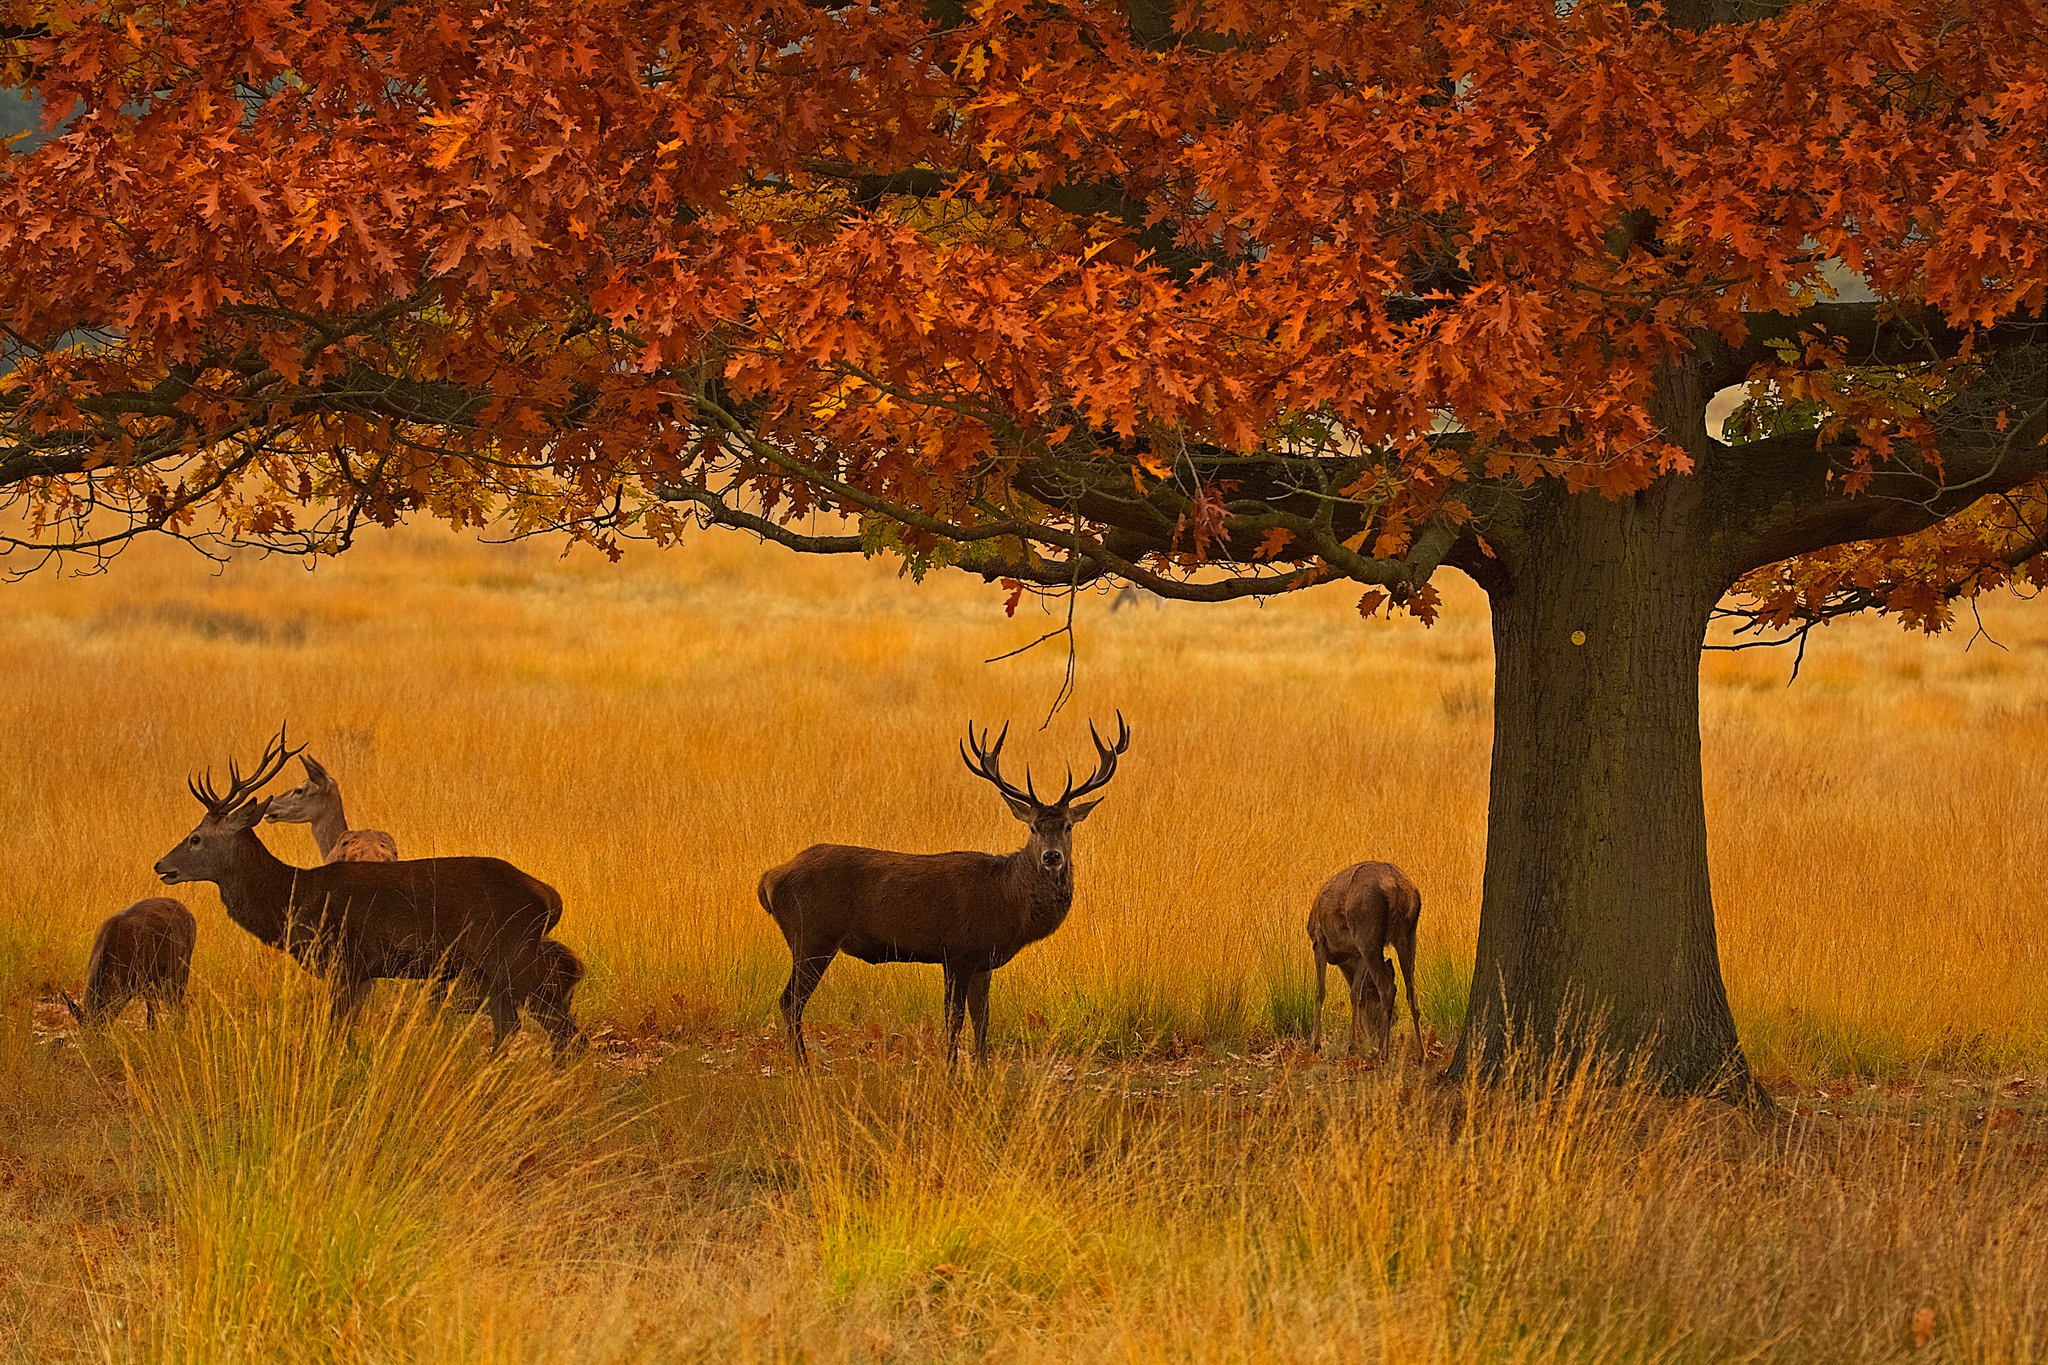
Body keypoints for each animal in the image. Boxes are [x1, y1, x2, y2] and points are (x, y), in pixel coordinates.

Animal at [757, 716, 1130, 1064]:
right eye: (1034, 828)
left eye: (1067, 826)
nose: (1051, 856)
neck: (1009, 901)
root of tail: (770, 878)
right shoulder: (958, 951)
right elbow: (955, 1019)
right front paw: (951, 1071)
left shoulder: (983, 960)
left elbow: (982, 1019)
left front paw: (981, 1071)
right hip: (812, 934)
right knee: (790, 1000)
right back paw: (803, 1068)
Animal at [1310, 859, 1425, 1064]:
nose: (1394, 1017)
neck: (1342, 957)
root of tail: (1398, 887)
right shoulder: (1358, 954)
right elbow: (1355, 994)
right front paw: (1352, 1045)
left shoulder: (1319, 940)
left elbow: (1320, 992)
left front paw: (1315, 1045)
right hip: (1408, 934)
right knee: (1411, 991)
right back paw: (1421, 1054)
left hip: (1366, 933)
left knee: (1387, 987)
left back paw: (1383, 1054)